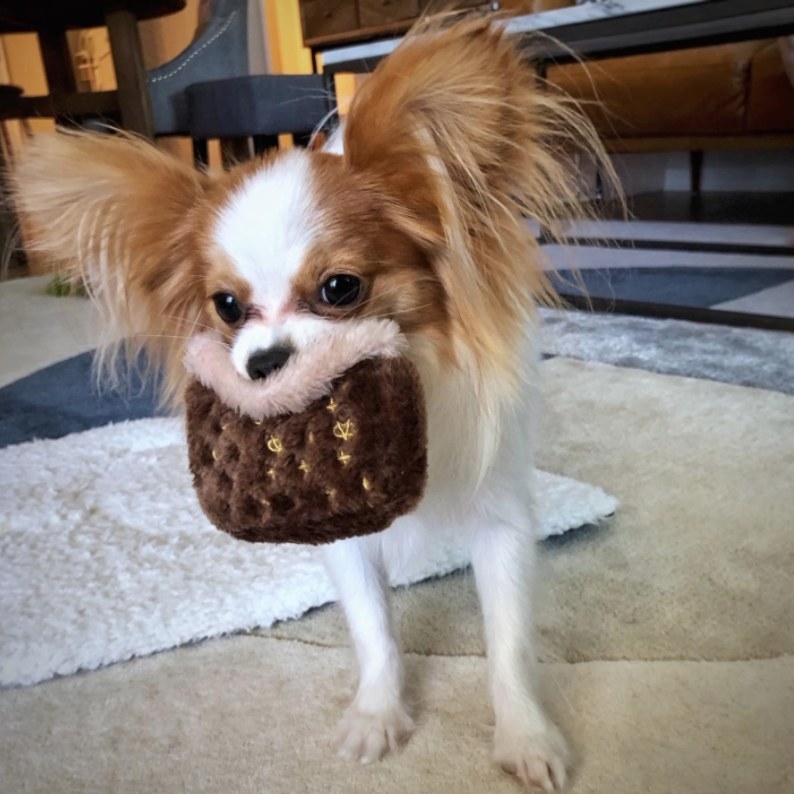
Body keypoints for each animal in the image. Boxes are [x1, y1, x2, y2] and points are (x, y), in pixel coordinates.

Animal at [10, 17, 608, 784]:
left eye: (340, 288)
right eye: (226, 306)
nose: (263, 362)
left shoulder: (500, 515)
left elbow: (509, 642)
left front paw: (526, 737)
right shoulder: (341, 527)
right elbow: (374, 629)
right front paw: (378, 714)